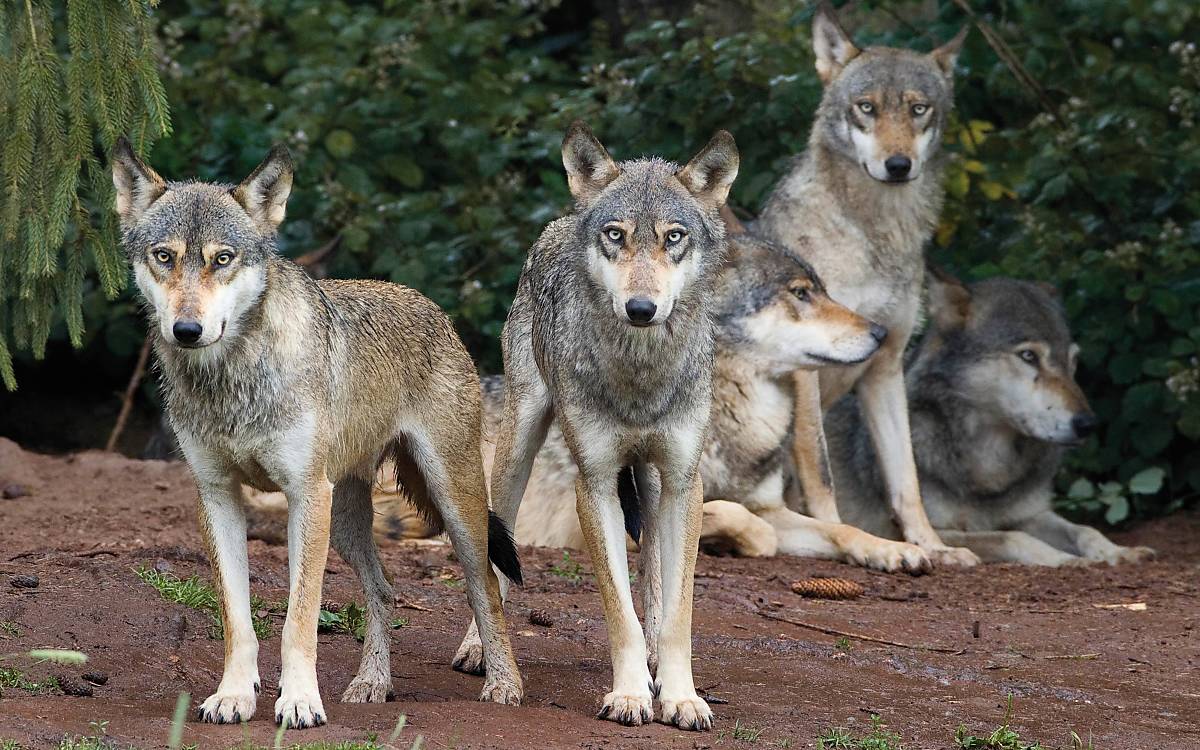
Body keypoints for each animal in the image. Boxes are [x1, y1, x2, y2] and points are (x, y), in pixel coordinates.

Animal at [111, 138, 522, 728]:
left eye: (222, 259)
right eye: (164, 256)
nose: (187, 330)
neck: (234, 378)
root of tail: (429, 306)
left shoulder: (305, 495)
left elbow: (299, 619)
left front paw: (300, 701)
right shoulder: (217, 495)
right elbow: (238, 619)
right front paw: (233, 696)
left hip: (453, 506)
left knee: (485, 585)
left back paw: (503, 684)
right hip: (348, 521)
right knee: (384, 591)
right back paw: (372, 683)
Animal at [453, 122, 738, 731]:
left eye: (673, 237)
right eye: (615, 235)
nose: (641, 308)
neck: (640, 376)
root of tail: (561, 222)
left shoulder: (686, 482)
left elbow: (676, 612)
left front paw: (680, 696)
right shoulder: (596, 483)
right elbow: (617, 608)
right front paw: (630, 695)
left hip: (653, 484)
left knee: (654, 578)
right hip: (517, 451)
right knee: (492, 560)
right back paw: (478, 649)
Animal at [752, 3, 978, 567]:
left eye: (918, 109)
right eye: (867, 108)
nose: (898, 165)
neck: (876, 236)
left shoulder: (886, 367)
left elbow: (907, 480)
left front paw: (935, 548)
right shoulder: (806, 373)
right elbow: (823, 476)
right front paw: (850, 541)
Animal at [826, 270, 1158, 566]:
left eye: (1072, 361)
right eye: (1028, 356)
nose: (1087, 424)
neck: (988, 466)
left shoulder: (1029, 514)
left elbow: (1086, 530)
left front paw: (1118, 552)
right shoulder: (907, 530)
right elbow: (1013, 538)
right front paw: (1068, 560)